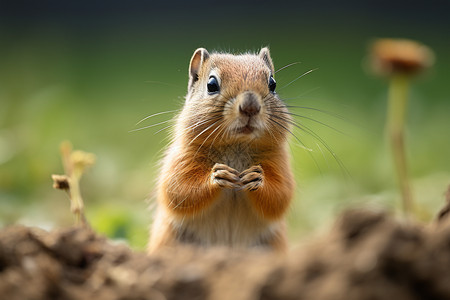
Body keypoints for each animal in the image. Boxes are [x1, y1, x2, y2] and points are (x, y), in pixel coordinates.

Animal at [148, 47, 296, 253]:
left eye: (272, 84)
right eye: (211, 85)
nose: (250, 106)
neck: (236, 146)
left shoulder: (278, 162)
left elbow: (280, 195)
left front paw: (257, 178)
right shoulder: (182, 160)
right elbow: (178, 190)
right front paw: (218, 176)